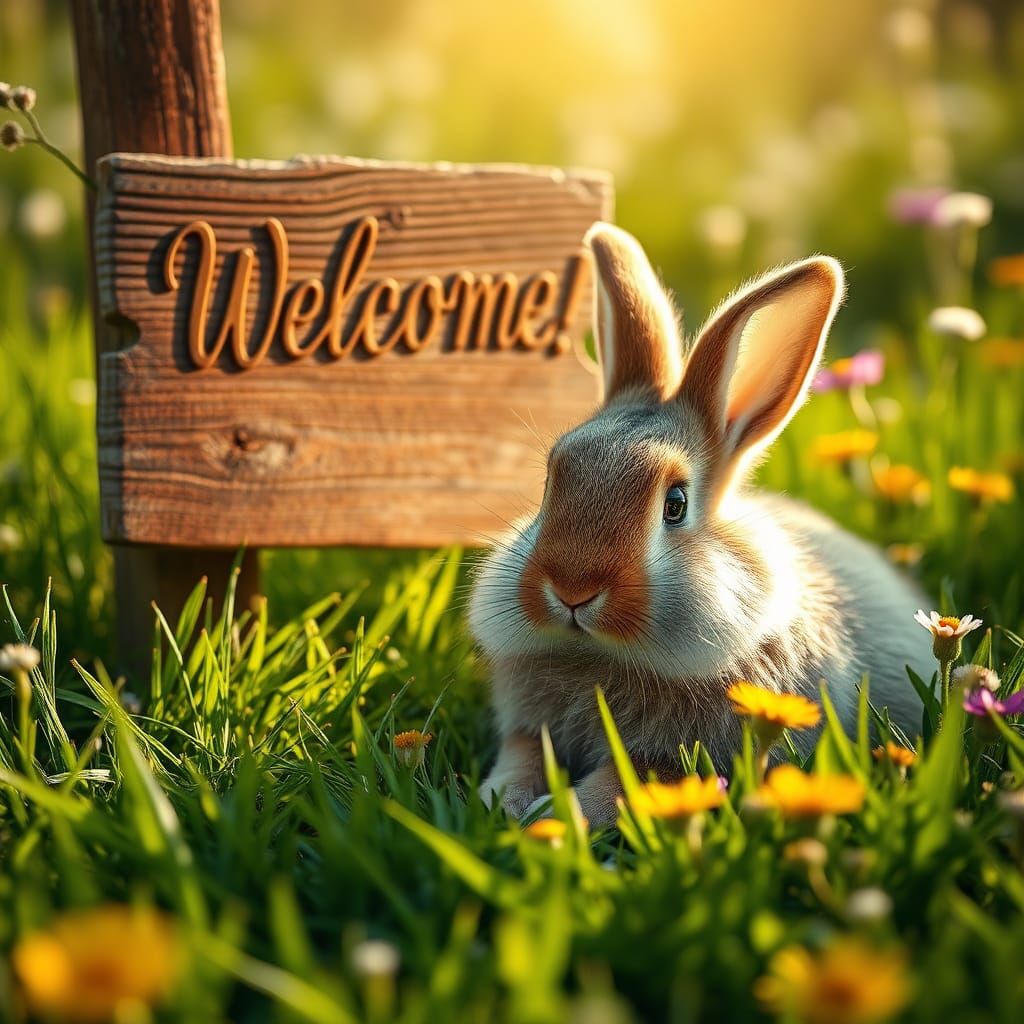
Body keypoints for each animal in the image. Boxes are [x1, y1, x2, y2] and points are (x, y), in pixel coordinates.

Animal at [469, 222, 935, 825]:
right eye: (552, 481)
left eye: (676, 504)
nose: (572, 591)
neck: (601, 654)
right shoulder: (528, 729)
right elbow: (521, 755)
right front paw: (505, 803)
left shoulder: (675, 761)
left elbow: (618, 783)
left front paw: (557, 816)